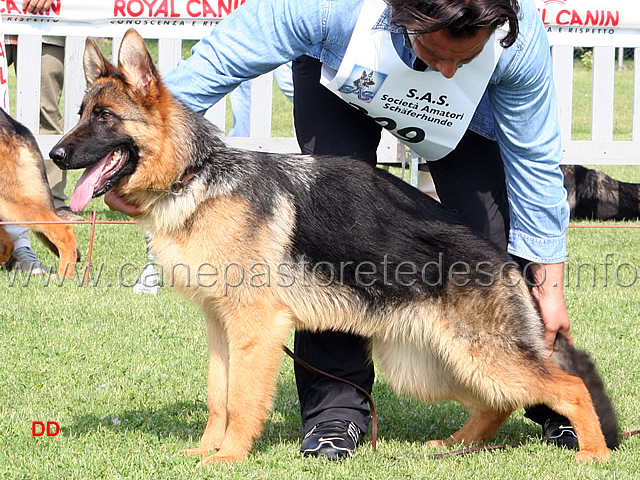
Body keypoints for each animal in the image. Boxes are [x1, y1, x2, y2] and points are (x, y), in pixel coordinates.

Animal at [51, 29, 620, 462]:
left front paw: (229, 457)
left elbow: (241, 400)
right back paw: (455, 446)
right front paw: (205, 451)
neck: (194, 176)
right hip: (427, 364)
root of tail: (507, 262)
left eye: (104, 117)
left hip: (477, 355)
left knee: (568, 389)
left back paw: (592, 454)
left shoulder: (255, 328)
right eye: (79, 112)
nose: (55, 154)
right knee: (496, 404)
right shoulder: (220, 326)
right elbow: (219, 396)